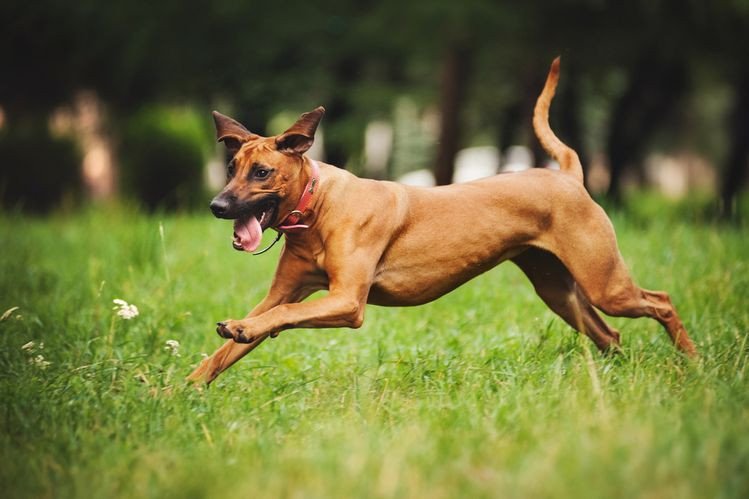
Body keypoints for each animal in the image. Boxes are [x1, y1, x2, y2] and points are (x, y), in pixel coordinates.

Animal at [186, 58, 696, 386]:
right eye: (230, 169)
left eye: (261, 172)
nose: (216, 205)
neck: (317, 207)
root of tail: (568, 174)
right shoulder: (282, 293)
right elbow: (232, 346)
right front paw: (181, 390)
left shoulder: (347, 301)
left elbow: (281, 318)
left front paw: (242, 332)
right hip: (560, 291)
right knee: (610, 334)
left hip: (603, 282)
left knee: (662, 301)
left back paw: (692, 362)